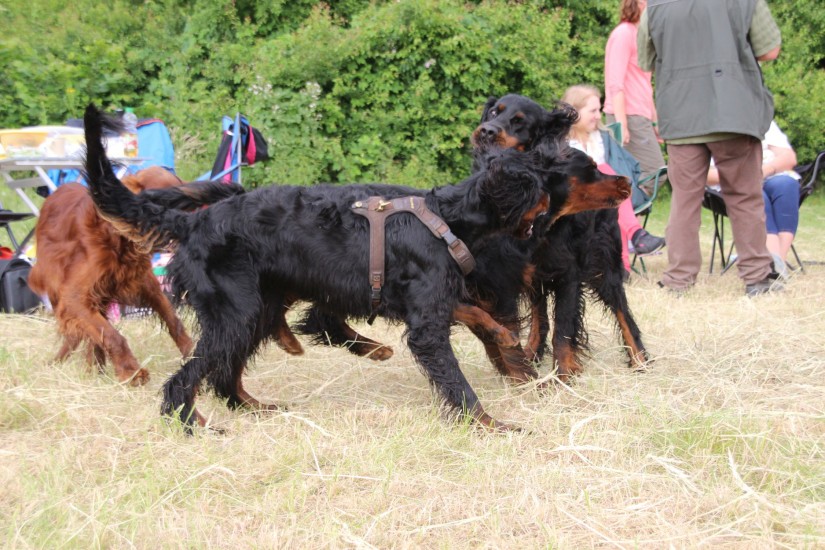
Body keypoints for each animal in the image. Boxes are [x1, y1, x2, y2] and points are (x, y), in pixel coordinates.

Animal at [27, 165, 242, 385]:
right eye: (167, 202)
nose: (202, 223)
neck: (117, 237)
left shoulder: (145, 283)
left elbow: (173, 321)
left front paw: (192, 355)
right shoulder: (74, 297)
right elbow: (112, 336)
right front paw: (131, 371)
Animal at [82, 103, 553, 431]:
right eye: (538, 186)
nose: (552, 208)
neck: (447, 216)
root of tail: (194, 220)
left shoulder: (425, 301)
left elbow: (475, 313)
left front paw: (502, 336)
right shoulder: (426, 323)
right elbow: (456, 379)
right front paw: (490, 424)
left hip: (257, 309)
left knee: (225, 376)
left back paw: (255, 407)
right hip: (236, 313)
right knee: (185, 379)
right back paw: (192, 425)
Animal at [473, 93, 649, 379]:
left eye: (520, 121)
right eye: (494, 113)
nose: (486, 131)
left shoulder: (568, 274)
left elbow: (564, 327)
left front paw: (565, 372)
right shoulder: (517, 272)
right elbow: (535, 320)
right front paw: (529, 362)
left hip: (605, 264)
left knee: (622, 311)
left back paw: (639, 358)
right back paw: (533, 353)